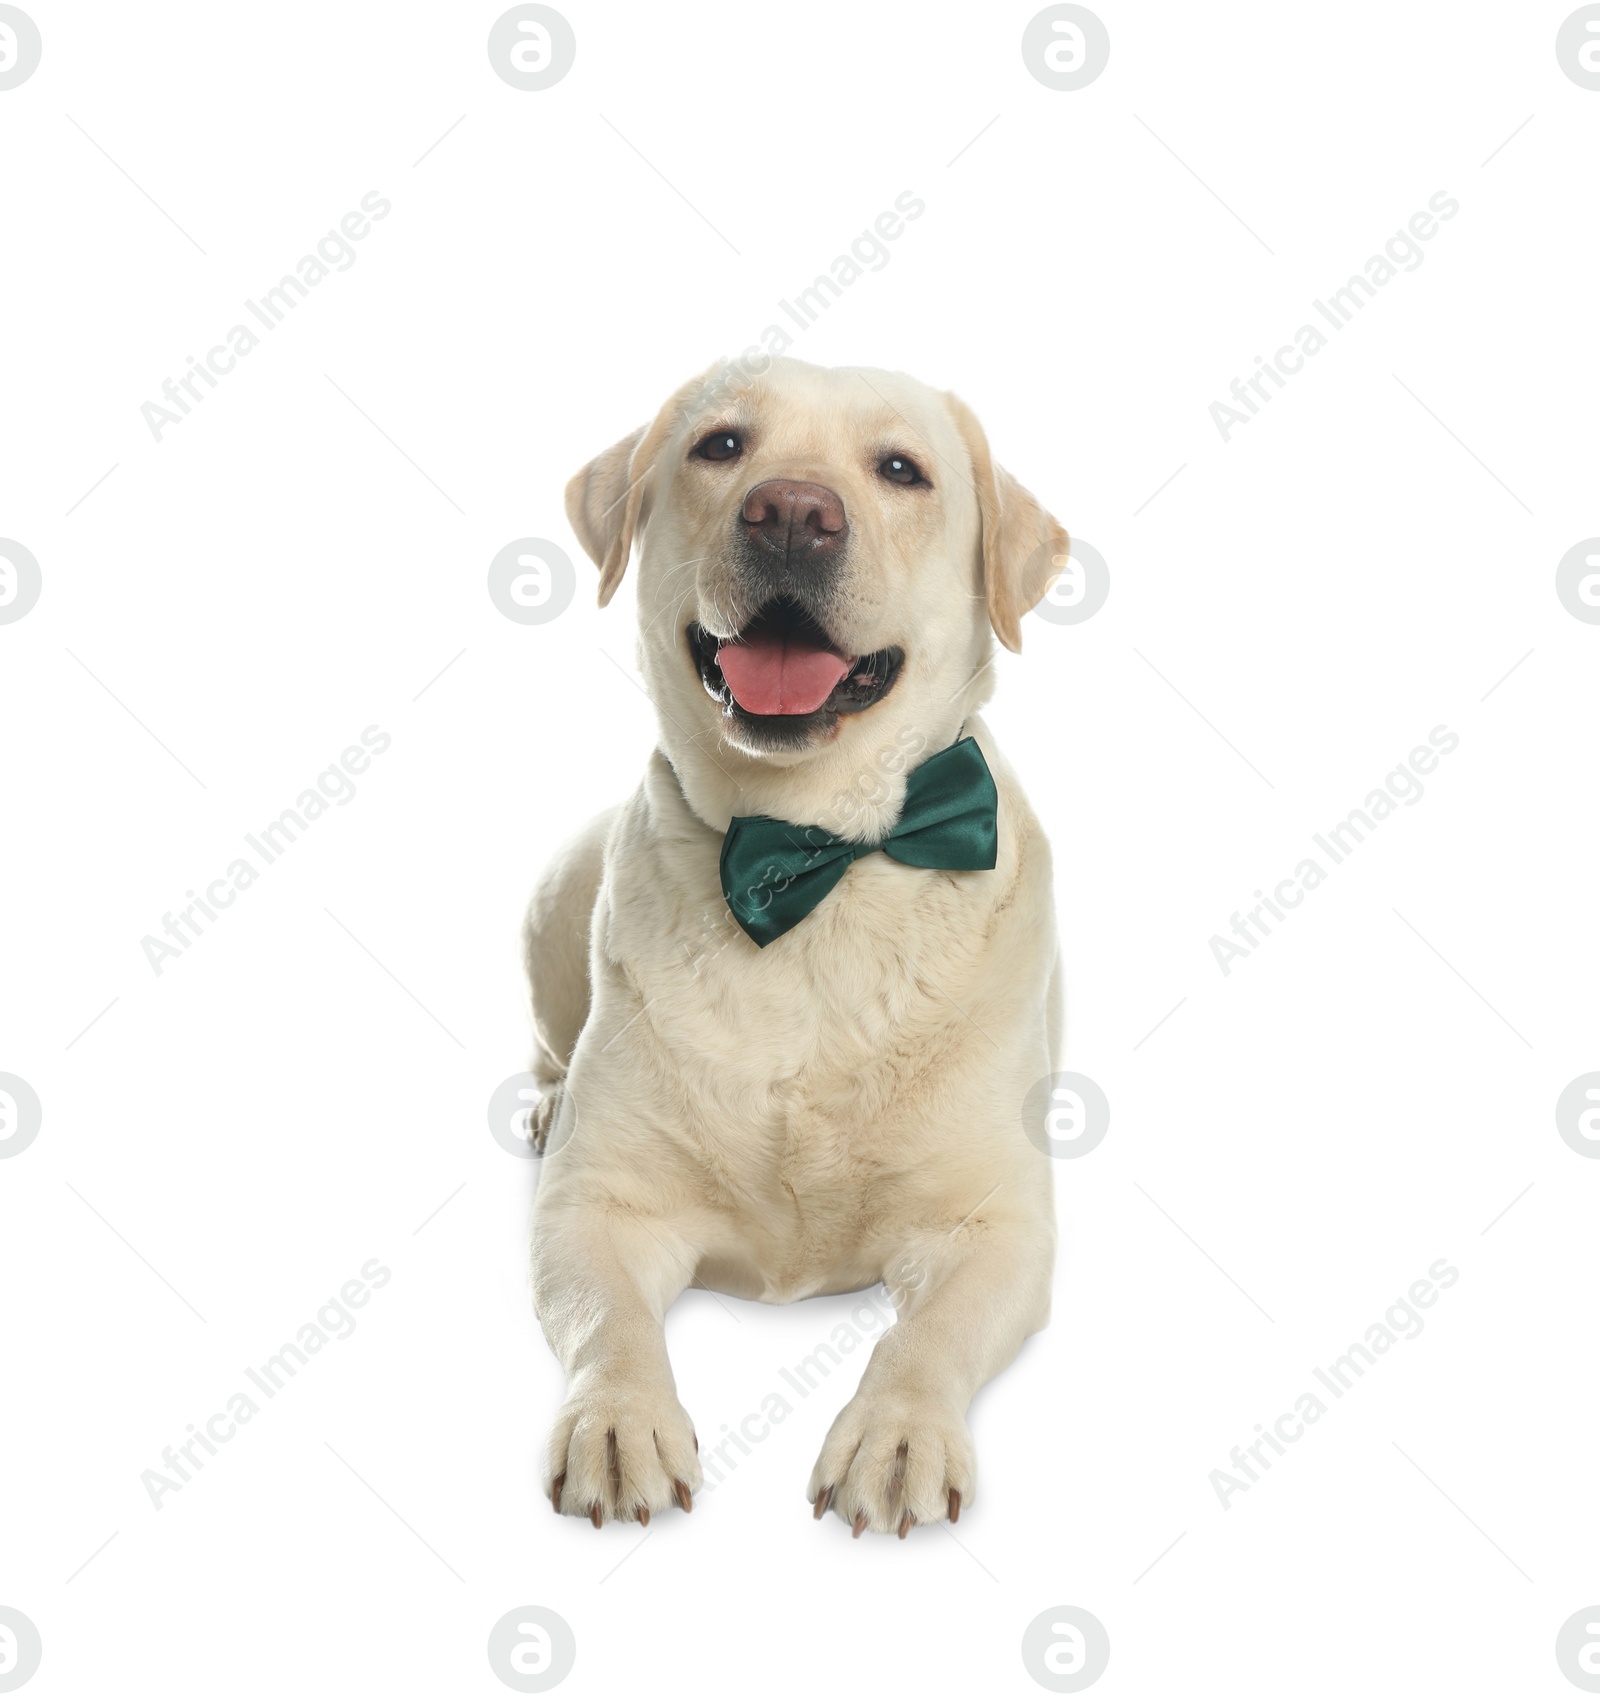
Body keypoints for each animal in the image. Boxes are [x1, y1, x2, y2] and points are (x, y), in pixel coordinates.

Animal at [526, 351, 1073, 1534]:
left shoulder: (993, 1227)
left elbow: (926, 1336)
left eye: (902, 470)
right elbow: (608, 1322)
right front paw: (617, 1422)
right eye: (721, 445)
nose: (791, 513)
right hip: (552, 899)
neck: (806, 858)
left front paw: (898, 1433)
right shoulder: (597, 1205)